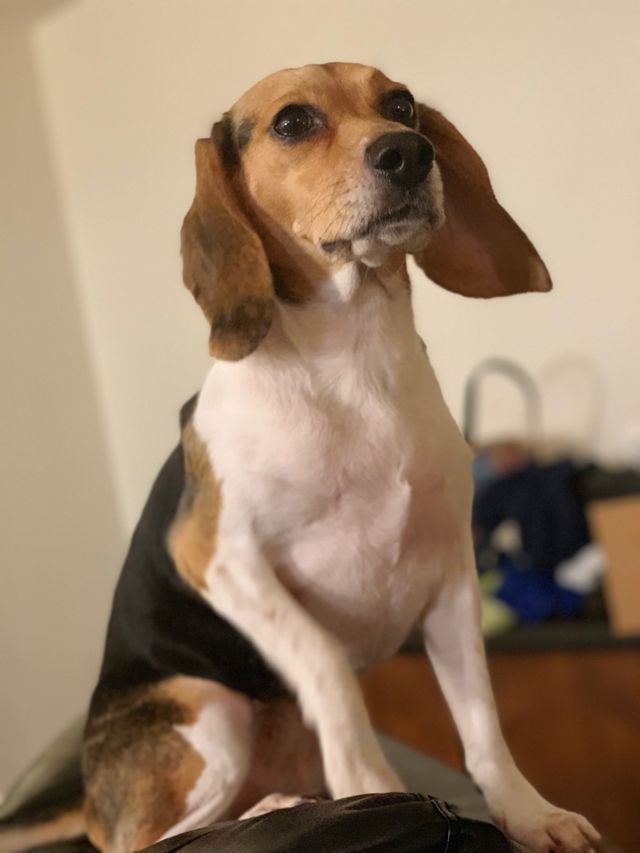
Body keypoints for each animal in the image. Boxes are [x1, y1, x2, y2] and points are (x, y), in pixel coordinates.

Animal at [3, 62, 601, 853]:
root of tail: (89, 792)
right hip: (208, 709)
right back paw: (272, 807)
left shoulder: (451, 577)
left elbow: (482, 726)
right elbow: (324, 660)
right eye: (292, 122)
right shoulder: (219, 559)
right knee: (150, 838)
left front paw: (529, 815)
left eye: (403, 105)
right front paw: (370, 781)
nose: (409, 153)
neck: (355, 359)